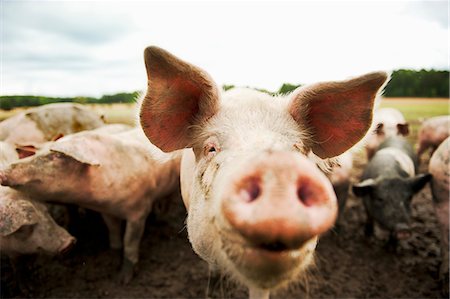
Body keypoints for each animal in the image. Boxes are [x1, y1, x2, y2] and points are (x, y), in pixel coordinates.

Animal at [0, 126, 183, 284]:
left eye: (56, 156)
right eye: (36, 153)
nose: (2, 172)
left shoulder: (139, 211)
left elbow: (130, 242)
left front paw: (123, 280)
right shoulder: (107, 212)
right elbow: (113, 234)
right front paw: (112, 257)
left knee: (168, 200)